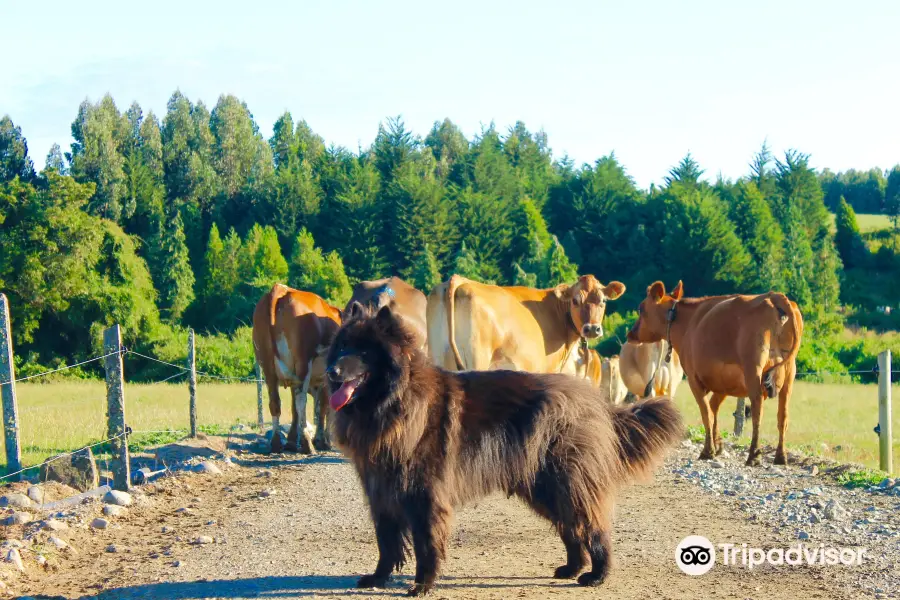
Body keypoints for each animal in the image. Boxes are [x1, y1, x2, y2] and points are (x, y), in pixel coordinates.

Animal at [251, 284, 342, 452]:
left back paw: (276, 443)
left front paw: (292, 440)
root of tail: (280, 289)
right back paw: (307, 443)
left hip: (268, 366)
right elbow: (323, 408)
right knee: (302, 402)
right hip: (303, 363)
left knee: (275, 402)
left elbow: (297, 408)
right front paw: (322, 441)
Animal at [428, 276, 624, 376]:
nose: (592, 328)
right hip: (477, 358)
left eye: (603, 301)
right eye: (575, 301)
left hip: (437, 355)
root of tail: (457, 280)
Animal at [624, 284, 800, 466]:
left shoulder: (694, 379)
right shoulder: (723, 383)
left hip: (754, 369)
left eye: (641, 309)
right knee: (783, 416)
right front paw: (718, 444)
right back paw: (780, 456)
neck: (685, 323)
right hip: (789, 374)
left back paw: (754, 455)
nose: (630, 334)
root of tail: (774, 296)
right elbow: (713, 408)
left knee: (757, 409)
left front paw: (708, 450)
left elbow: (706, 413)